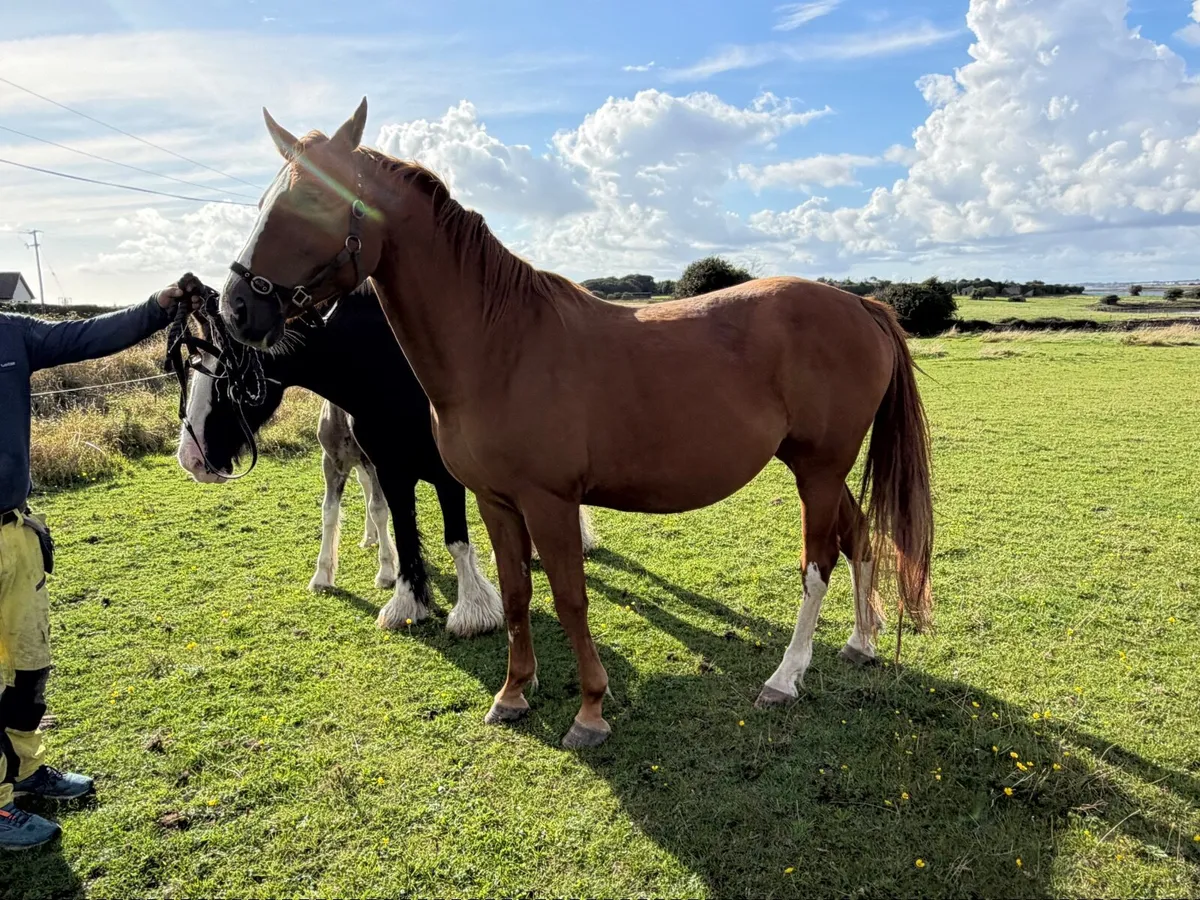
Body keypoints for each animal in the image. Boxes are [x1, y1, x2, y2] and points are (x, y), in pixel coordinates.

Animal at [217, 99, 934, 749]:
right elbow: (514, 595)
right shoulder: (495, 501)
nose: (237, 309)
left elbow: (569, 598)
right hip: (819, 468)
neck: (499, 344)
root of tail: (863, 306)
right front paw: (512, 695)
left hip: (819, 470)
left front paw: (590, 711)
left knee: (819, 563)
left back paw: (785, 678)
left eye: (312, 198)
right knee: (860, 539)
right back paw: (860, 643)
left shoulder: (550, 502)